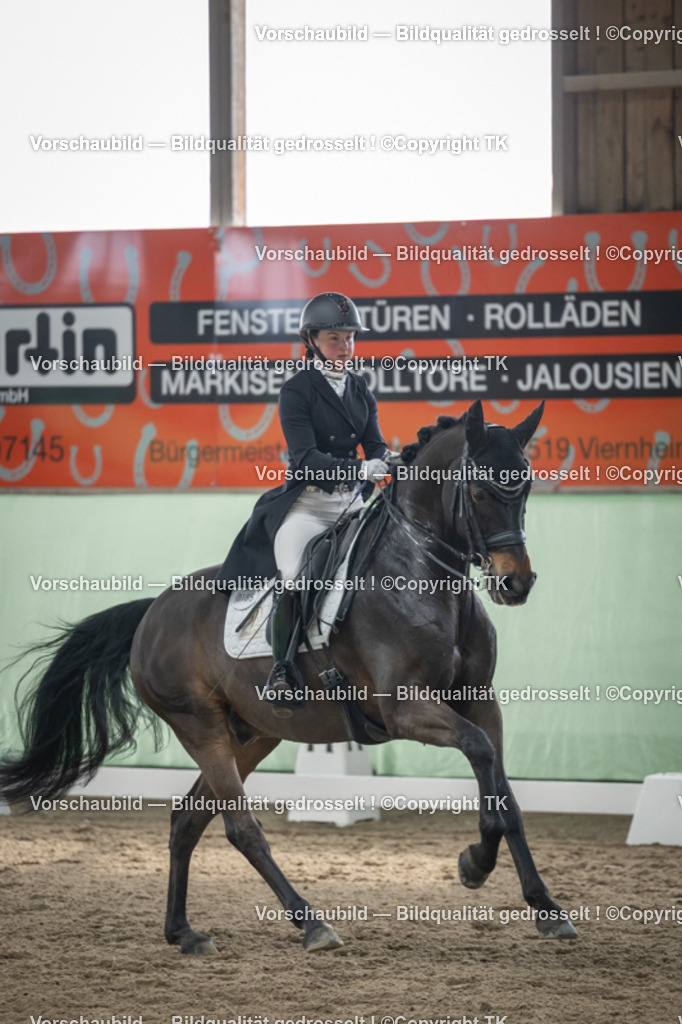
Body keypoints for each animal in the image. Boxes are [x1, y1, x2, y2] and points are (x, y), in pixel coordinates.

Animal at [0, 398, 578, 955]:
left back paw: (184, 932)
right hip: (199, 725)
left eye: (525, 487)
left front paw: (545, 908)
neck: (422, 575)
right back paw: (311, 923)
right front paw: (475, 863)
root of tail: (151, 613)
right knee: (241, 828)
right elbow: (479, 752)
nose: (516, 583)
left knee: (187, 820)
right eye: (479, 490)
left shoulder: (479, 700)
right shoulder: (403, 707)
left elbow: (505, 792)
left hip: (253, 733)